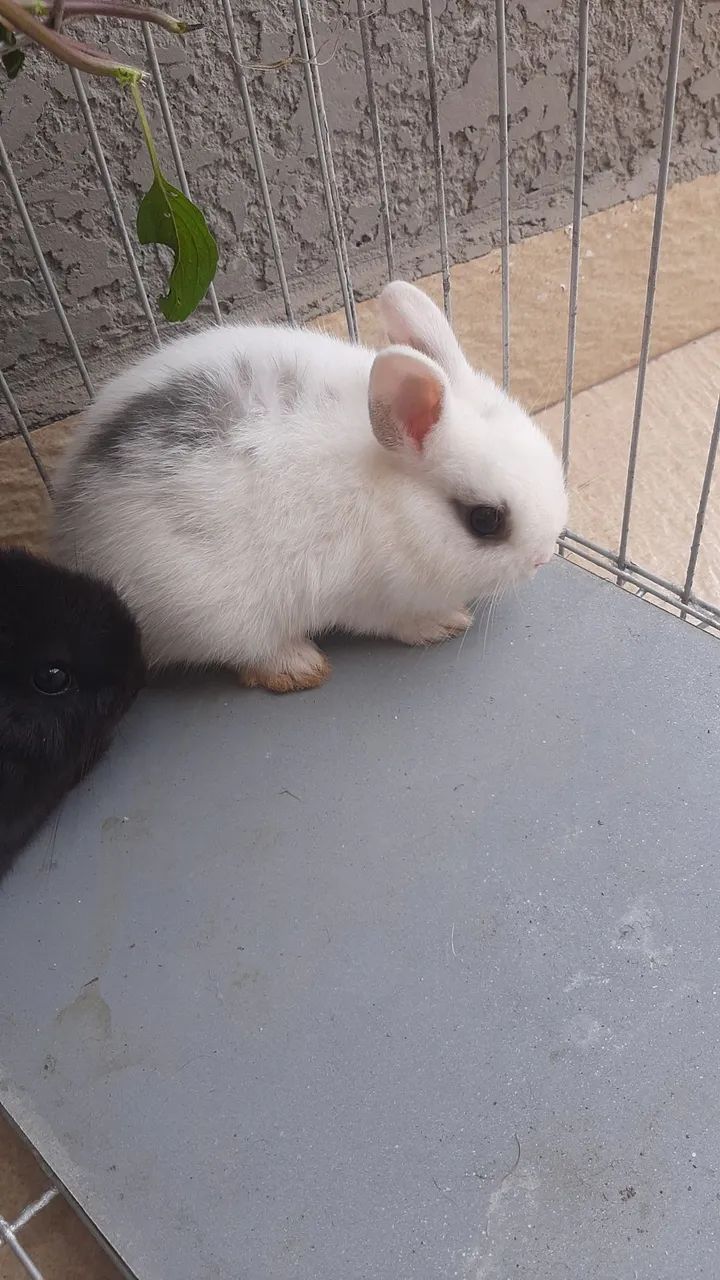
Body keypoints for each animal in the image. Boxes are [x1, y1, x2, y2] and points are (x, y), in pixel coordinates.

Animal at [52, 281, 567, 693]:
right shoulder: (374, 598)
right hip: (214, 612)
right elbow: (401, 621)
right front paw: (446, 622)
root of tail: (71, 531)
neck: (392, 501)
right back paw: (300, 666)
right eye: (484, 520)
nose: (543, 558)